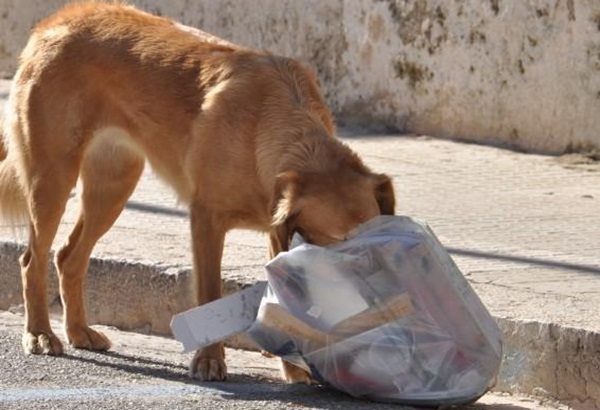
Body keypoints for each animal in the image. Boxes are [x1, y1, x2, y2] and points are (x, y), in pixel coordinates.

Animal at [0, 1, 394, 382]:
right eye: (340, 244)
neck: (276, 131)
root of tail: (57, 21)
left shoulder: (276, 230)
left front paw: (294, 368)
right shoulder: (206, 220)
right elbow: (209, 292)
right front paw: (209, 361)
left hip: (112, 186)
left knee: (69, 257)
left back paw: (79, 331)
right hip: (52, 179)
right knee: (32, 260)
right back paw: (40, 333)